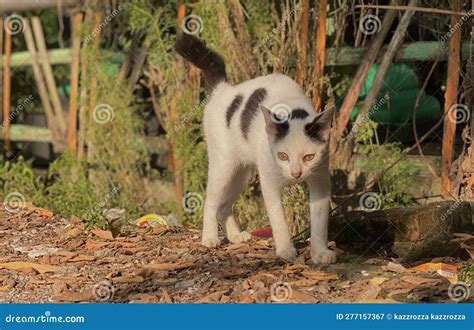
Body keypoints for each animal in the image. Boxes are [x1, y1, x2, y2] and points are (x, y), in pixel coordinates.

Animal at [177, 33, 336, 264]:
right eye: (282, 155)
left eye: (308, 157)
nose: (296, 174)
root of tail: (223, 89)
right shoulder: (269, 183)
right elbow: (278, 220)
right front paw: (285, 249)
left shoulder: (320, 180)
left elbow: (320, 221)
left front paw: (320, 252)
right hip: (223, 165)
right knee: (211, 200)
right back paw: (209, 238)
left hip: (241, 173)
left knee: (224, 205)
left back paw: (235, 236)